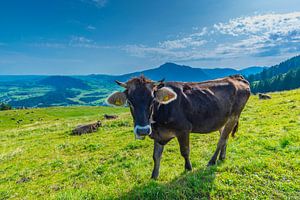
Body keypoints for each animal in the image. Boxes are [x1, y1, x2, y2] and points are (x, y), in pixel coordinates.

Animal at [106, 75, 250, 180]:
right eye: (129, 102)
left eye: (152, 100)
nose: (143, 130)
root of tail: (235, 77)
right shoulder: (158, 135)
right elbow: (156, 156)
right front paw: (154, 177)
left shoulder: (183, 129)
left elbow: (185, 151)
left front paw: (188, 169)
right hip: (222, 119)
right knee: (224, 137)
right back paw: (222, 157)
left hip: (234, 116)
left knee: (221, 140)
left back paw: (212, 161)